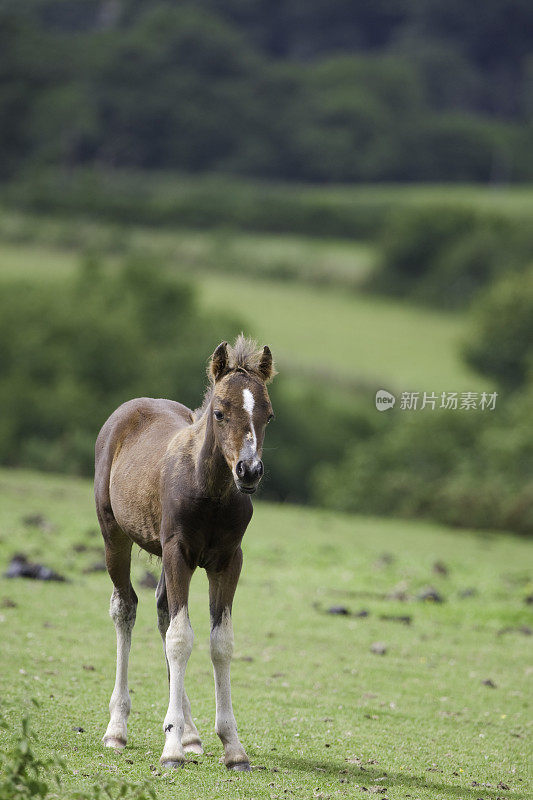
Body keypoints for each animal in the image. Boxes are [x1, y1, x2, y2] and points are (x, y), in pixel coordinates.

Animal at [94, 332, 274, 768]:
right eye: (220, 413)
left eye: (269, 415)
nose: (249, 471)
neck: (210, 490)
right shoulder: (178, 553)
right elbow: (180, 638)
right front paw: (171, 750)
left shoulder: (228, 560)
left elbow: (219, 642)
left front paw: (232, 747)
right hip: (114, 535)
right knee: (125, 607)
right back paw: (117, 729)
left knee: (162, 609)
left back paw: (189, 733)